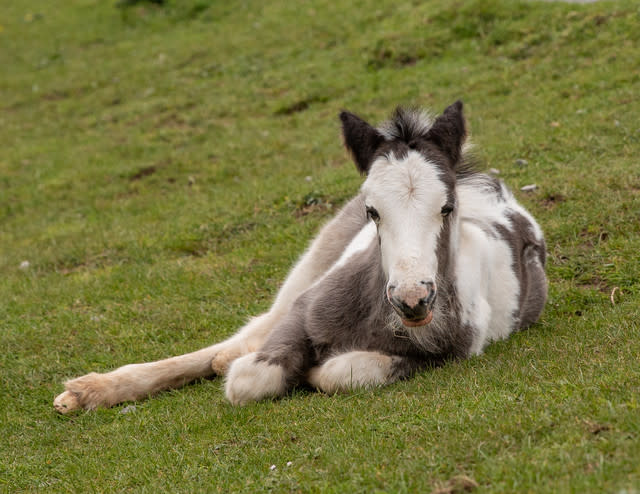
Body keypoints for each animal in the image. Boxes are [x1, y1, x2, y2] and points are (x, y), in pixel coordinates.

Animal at [53, 99, 544, 410]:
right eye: (373, 211)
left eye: (447, 207)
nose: (412, 299)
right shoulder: (303, 312)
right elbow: (250, 378)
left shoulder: (447, 354)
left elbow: (338, 372)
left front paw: (313, 373)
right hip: (313, 262)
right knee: (243, 336)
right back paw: (88, 391)